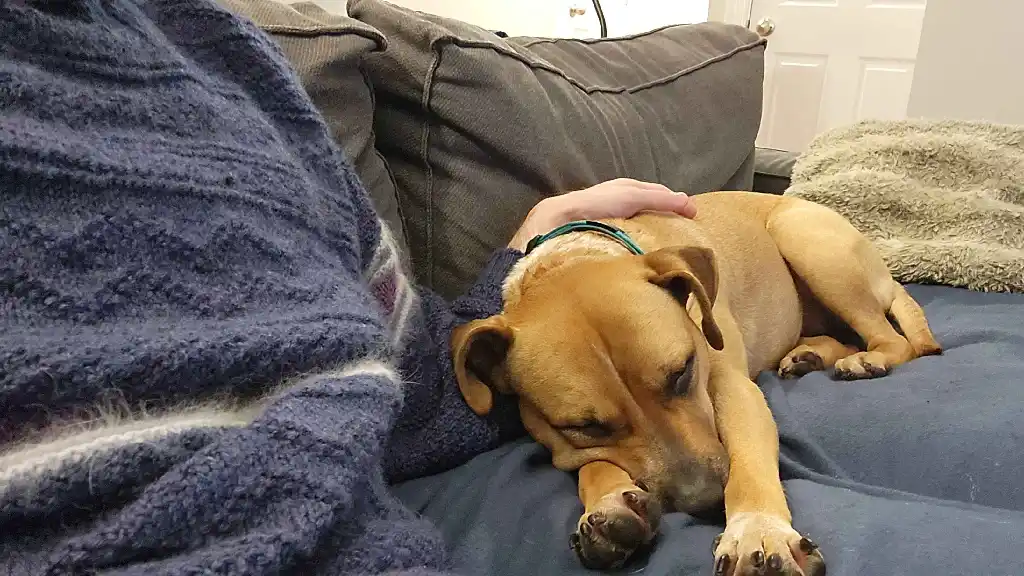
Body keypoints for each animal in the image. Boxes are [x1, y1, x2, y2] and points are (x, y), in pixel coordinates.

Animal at [452, 190, 937, 569]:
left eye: (683, 372)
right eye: (587, 426)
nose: (702, 501)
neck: (573, 257)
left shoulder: (732, 386)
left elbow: (747, 457)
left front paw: (757, 529)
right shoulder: (563, 441)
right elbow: (591, 463)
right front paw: (611, 503)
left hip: (805, 240)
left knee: (891, 338)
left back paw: (867, 360)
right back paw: (810, 354)